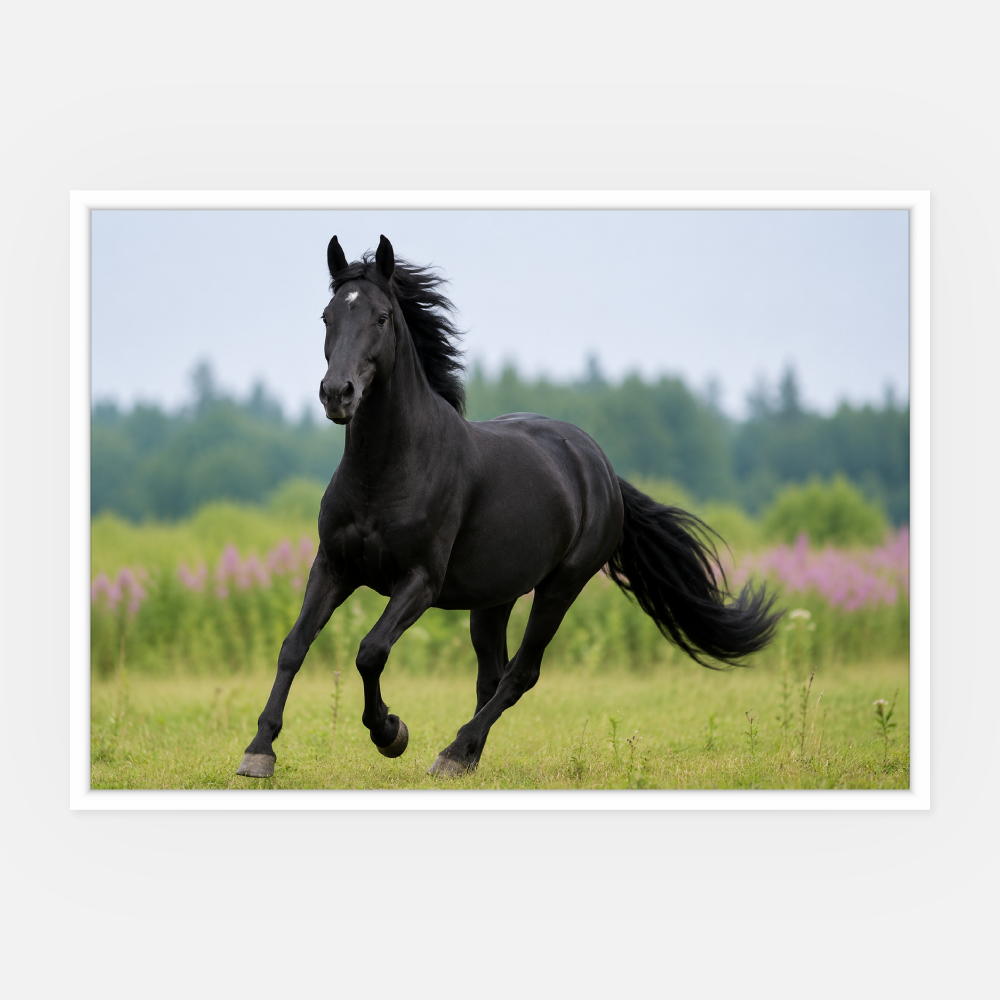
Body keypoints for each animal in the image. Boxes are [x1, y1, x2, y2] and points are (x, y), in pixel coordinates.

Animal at [236, 235, 780, 779]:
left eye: (382, 317)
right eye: (327, 316)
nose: (337, 394)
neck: (388, 470)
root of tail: (601, 468)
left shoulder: (419, 580)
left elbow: (371, 651)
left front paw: (390, 732)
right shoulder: (333, 566)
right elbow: (293, 646)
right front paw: (259, 750)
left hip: (561, 587)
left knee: (521, 673)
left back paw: (454, 752)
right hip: (493, 597)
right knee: (492, 675)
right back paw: (466, 757)